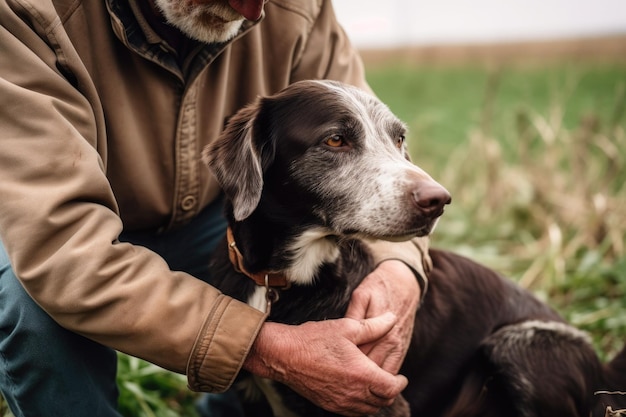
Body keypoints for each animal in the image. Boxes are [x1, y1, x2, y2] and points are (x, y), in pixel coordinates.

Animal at [200, 79, 624, 414]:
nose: (439, 199)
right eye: (336, 139)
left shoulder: (381, 398)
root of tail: (606, 375)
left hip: (516, 345)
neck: (281, 278)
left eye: (399, 138)